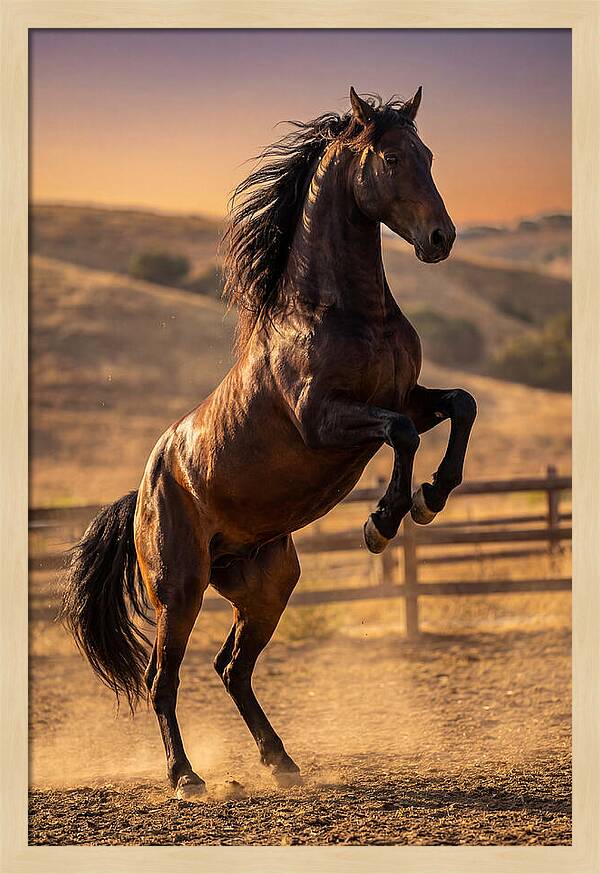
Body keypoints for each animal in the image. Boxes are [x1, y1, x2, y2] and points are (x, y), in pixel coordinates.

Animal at [61, 87, 477, 799]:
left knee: (232, 668)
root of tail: (143, 490)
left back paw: (280, 761)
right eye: (393, 158)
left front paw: (431, 497)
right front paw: (382, 521)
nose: (440, 238)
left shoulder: (406, 397)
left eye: (428, 154)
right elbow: (398, 437)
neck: (343, 313)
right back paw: (186, 778)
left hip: (267, 582)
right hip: (181, 588)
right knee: (163, 678)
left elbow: (460, 406)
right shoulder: (324, 419)